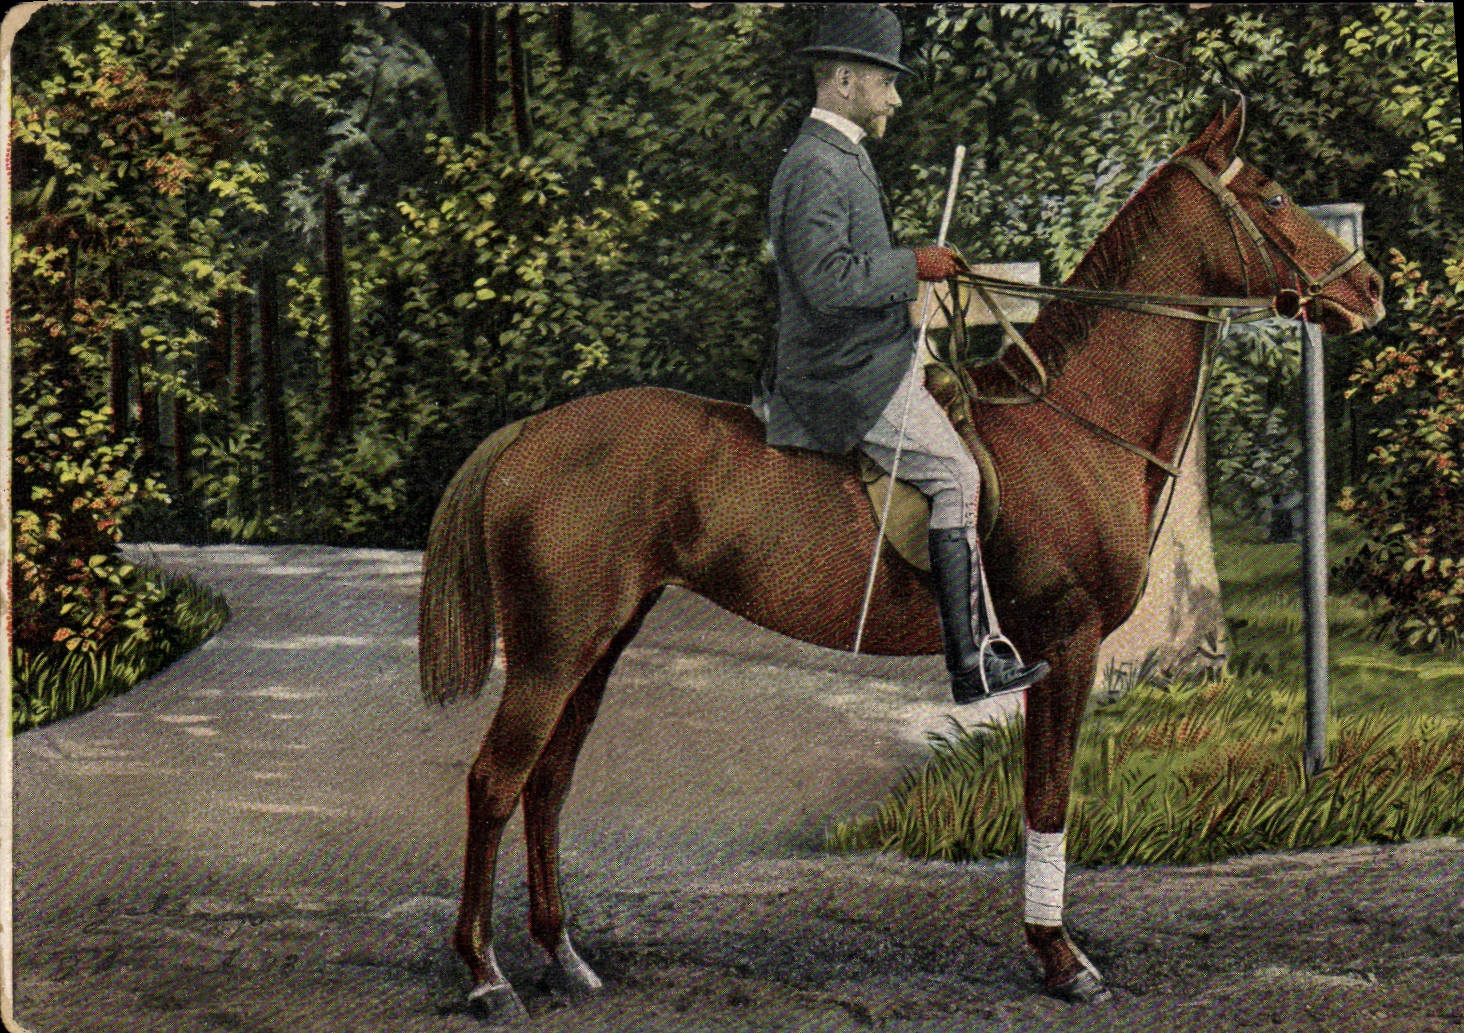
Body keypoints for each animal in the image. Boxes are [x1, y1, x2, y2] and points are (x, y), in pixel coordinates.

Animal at [417, 104, 1384, 1019]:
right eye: (1270, 196)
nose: (1369, 287)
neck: (1072, 422)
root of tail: (527, 433)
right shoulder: (1065, 643)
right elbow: (1047, 798)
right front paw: (1061, 959)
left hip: (596, 646)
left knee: (547, 784)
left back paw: (563, 957)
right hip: (551, 653)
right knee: (495, 782)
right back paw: (485, 974)